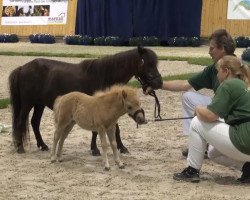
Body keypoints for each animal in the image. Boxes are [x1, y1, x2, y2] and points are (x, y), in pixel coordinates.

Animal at [8, 46, 163, 154]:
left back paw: (43, 145)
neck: (105, 76)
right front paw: (95, 150)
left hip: (39, 104)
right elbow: (97, 130)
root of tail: (22, 68)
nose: (159, 82)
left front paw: (121, 147)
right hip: (28, 104)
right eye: (145, 63)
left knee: (35, 122)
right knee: (21, 121)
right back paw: (20, 147)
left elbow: (115, 129)